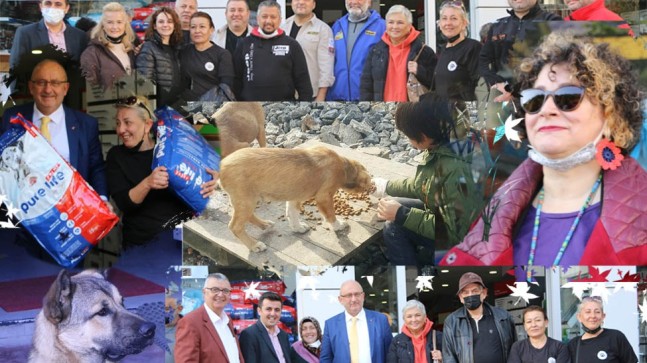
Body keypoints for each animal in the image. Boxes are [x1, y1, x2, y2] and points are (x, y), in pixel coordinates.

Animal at [220, 145, 372, 253]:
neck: (342, 164)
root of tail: (221, 166)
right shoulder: (324, 197)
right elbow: (330, 215)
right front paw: (339, 226)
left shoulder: (295, 197)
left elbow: (292, 213)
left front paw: (297, 228)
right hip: (246, 200)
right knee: (235, 226)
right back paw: (255, 245)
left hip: (247, 199)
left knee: (248, 216)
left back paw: (264, 224)